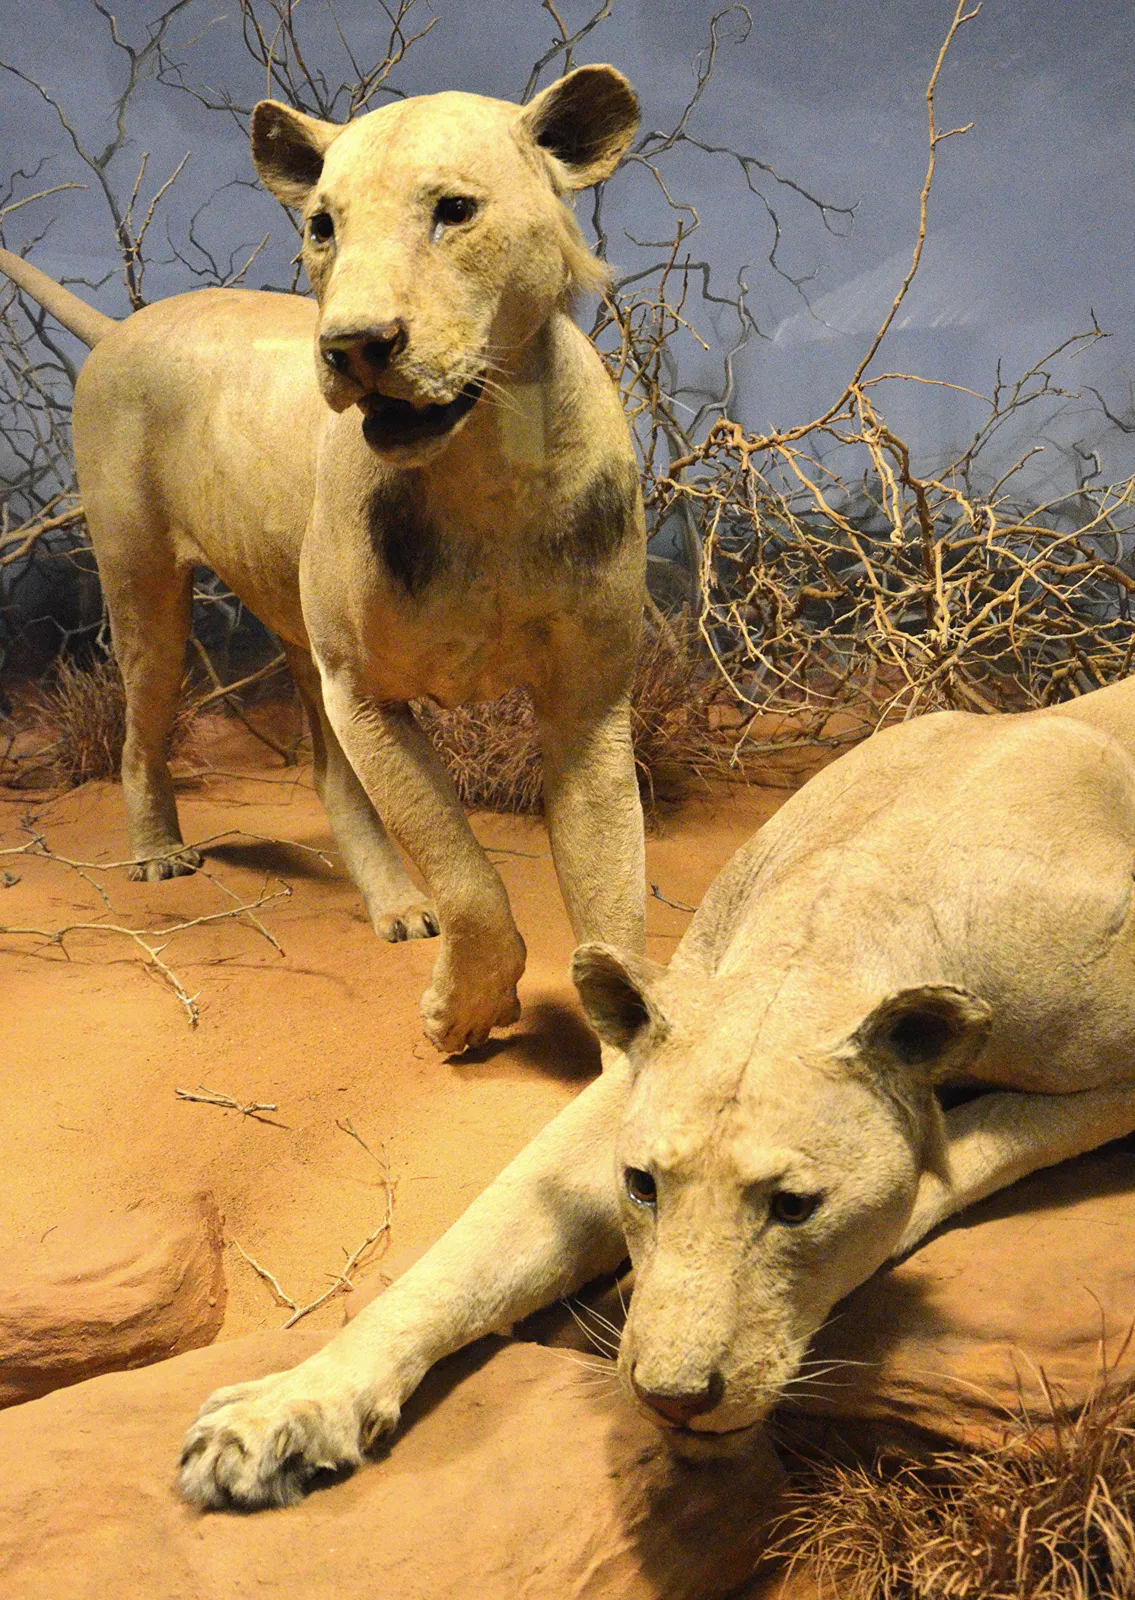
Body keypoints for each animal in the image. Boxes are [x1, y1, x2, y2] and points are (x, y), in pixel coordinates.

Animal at [0, 66, 646, 1053]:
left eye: (453, 211)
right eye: (322, 226)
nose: (354, 346)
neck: (488, 472)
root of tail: (120, 327)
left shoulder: (589, 698)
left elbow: (610, 893)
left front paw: (635, 1044)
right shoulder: (365, 689)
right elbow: (467, 877)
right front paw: (464, 1010)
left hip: (299, 632)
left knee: (328, 776)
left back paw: (392, 905)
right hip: (146, 583)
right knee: (142, 728)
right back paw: (159, 854)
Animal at [179, 676, 1135, 1508]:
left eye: (794, 1208)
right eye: (642, 1186)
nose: (672, 1397)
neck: (831, 928)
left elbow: (965, 1154)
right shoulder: (619, 1098)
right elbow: (466, 1255)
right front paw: (280, 1412)